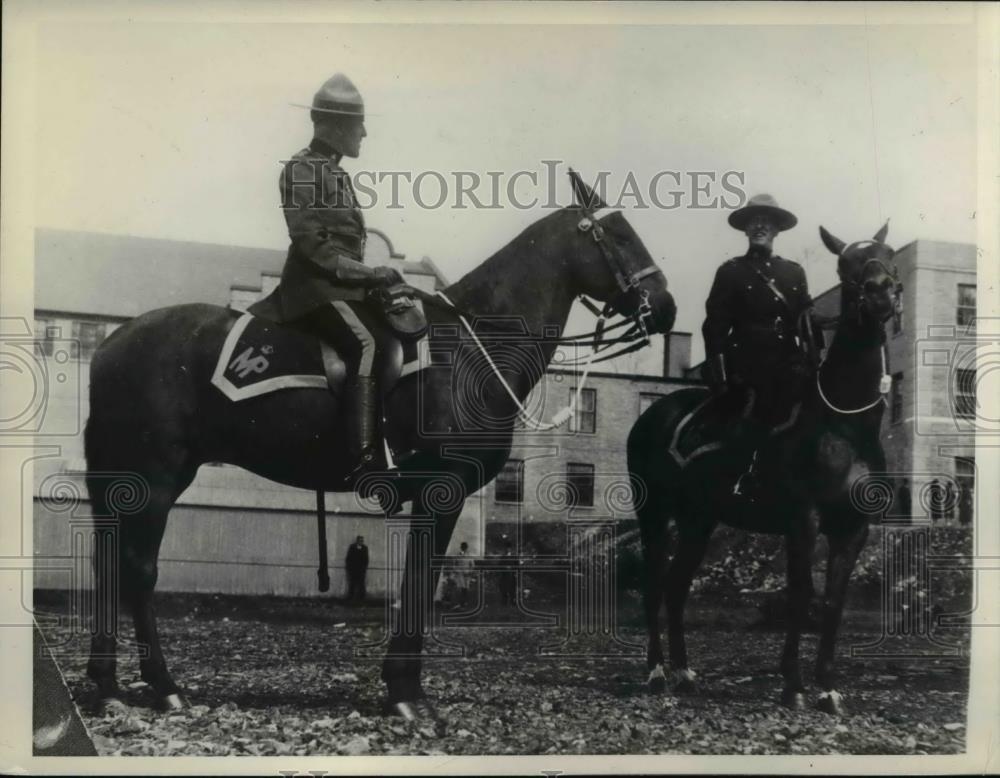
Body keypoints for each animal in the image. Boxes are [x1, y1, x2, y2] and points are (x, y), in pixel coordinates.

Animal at [84, 173, 680, 720]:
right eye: (619, 235)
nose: (666, 307)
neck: (475, 346)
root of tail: (112, 342)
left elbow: (420, 580)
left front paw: (406, 686)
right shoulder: (443, 489)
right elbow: (419, 582)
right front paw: (402, 692)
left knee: (109, 564)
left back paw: (109, 686)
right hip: (154, 476)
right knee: (136, 569)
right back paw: (162, 685)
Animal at [628, 221, 904, 712]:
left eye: (887, 254)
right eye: (844, 264)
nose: (879, 295)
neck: (845, 423)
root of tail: (652, 415)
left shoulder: (853, 528)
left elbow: (833, 602)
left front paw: (828, 687)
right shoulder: (803, 520)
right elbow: (800, 594)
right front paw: (793, 684)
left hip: (699, 520)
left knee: (677, 586)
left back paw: (684, 672)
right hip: (654, 515)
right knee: (655, 583)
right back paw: (657, 672)